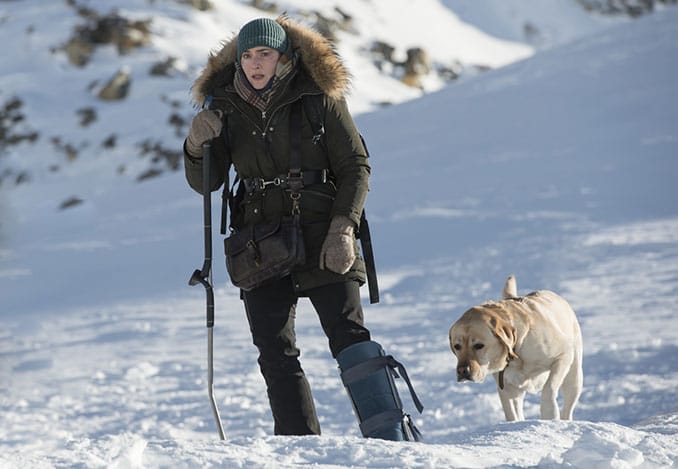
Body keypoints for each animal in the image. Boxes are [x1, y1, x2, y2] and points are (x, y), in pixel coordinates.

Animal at [452, 274, 584, 420]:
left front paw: (550, 413)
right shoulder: (506, 386)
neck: (517, 350)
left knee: (568, 406)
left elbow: (549, 387)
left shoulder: (563, 355)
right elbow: (512, 412)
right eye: (457, 346)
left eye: (479, 345)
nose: (462, 371)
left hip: (574, 376)